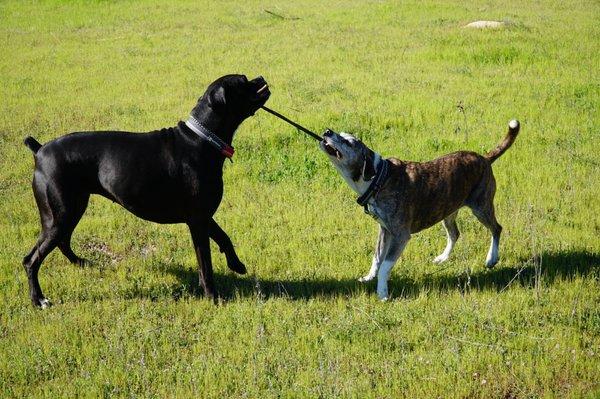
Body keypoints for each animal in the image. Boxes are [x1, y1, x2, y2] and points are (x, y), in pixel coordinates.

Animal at [21, 74, 270, 306]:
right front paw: (212, 296)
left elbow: (224, 237)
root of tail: (40, 150)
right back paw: (38, 300)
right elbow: (205, 264)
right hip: (59, 215)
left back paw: (80, 263)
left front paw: (236, 265)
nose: (260, 78)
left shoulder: (203, 216)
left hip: (72, 209)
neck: (202, 138)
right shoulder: (198, 221)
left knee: (63, 241)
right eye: (243, 81)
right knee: (32, 259)